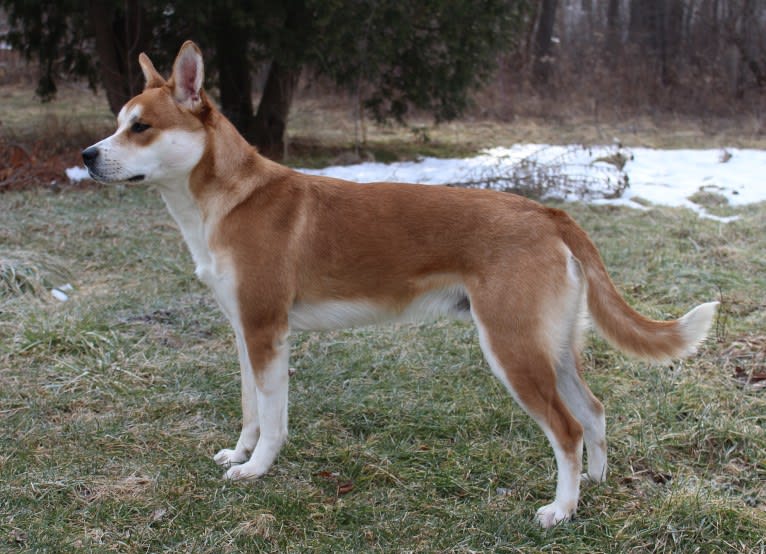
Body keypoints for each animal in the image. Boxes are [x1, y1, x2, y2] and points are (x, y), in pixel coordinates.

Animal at [81, 43, 716, 528]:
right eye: (118, 123)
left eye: (140, 127)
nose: (86, 156)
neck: (227, 200)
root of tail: (546, 213)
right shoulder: (244, 334)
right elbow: (249, 411)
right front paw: (238, 453)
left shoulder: (267, 333)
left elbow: (274, 418)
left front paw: (256, 469)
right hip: (551, 348)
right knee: (594, 412)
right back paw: (594, 488)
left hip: (512, 349)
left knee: (567, 428)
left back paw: (560, 510)